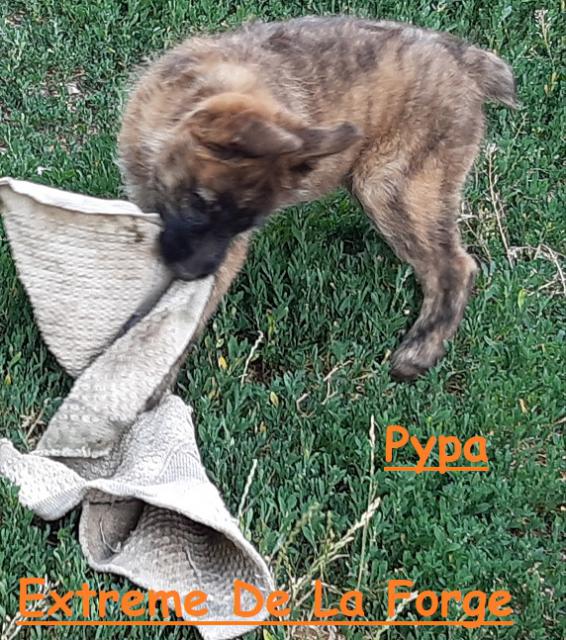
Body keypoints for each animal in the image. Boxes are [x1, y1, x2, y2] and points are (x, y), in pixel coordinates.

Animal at [118, 16, 516, 380]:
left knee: (455, 266)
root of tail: (463, 60)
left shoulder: (228, 251)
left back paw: (420, 350)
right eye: (200, 204)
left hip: (389, 187)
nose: (194, 274)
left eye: (243, 225)